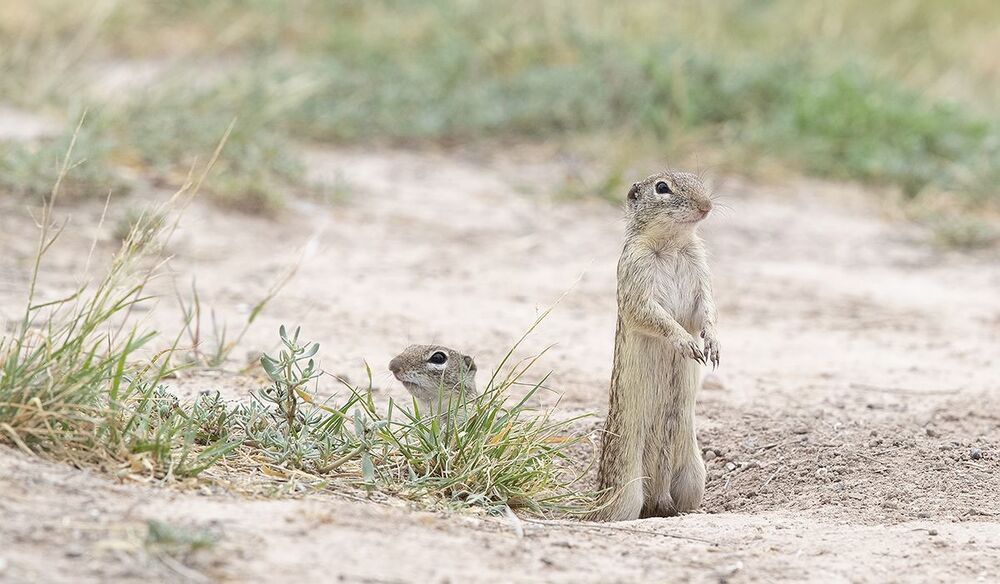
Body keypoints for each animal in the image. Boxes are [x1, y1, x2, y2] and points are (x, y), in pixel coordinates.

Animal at [591, 171, 720, 521]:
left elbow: (707, 310)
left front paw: (713, 344)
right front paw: (687, 343)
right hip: (627, 485)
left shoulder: (701, 273)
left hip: (695, 475)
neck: (672, 244)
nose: (707, 205)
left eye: (698, 179)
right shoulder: (636, 278)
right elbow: (652, 315)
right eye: (662, 188)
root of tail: (657, 497)